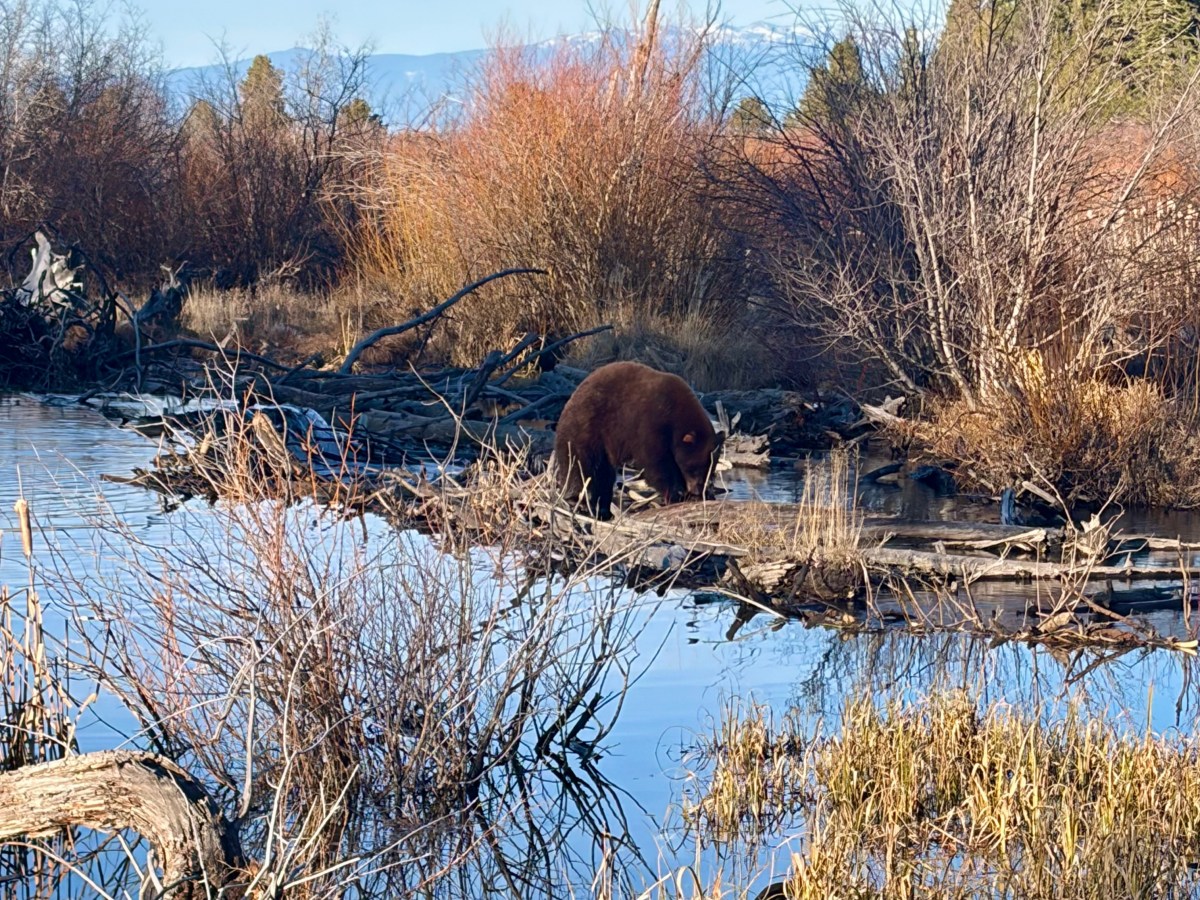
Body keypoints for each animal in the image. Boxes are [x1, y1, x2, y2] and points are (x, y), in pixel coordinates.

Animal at [554, 361, 723, 519]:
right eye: (694, 467)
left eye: (711, 468)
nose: (697, 489)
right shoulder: (649, 424)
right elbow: (657, 463)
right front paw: (676, 493)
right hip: (586, 429)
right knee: (579, 465)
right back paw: (578, 501)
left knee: (604, 475)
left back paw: (603, 508)